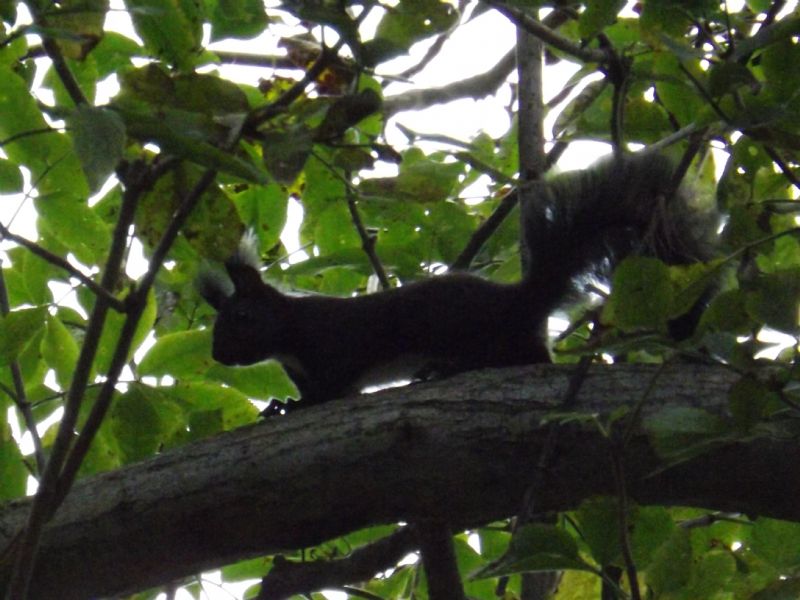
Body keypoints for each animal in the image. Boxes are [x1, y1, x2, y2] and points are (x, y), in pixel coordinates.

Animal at [197, 152, 716, 410]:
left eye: (242, 317)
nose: (218, 354)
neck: (290, 332)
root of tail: (521, 301)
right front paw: (286, 403)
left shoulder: (337, 347)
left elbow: (333, 389)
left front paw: (297, 408)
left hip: (479, 331)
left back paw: (449, 368)